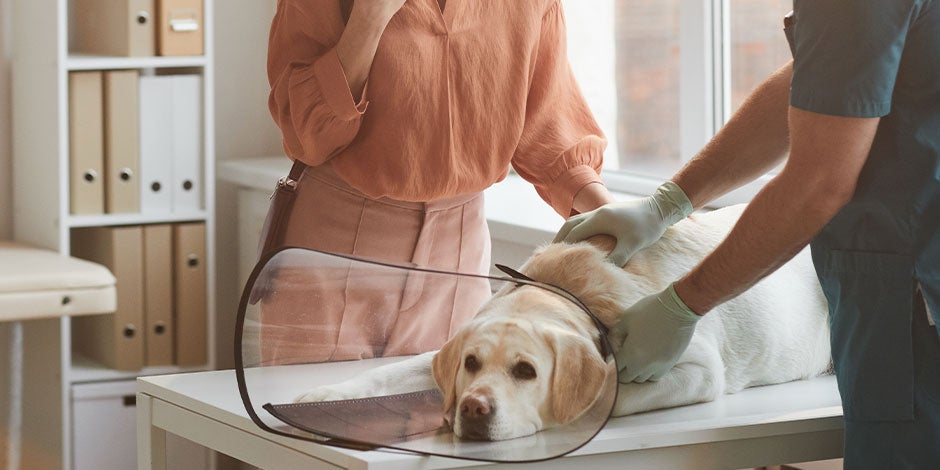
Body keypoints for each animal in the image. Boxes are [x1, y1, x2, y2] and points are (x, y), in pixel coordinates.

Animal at [296, 205, 828, 440]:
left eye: (525, 372)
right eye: (471, 364)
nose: (471, 410)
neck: (570, 291)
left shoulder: (698, 371)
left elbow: (612, 395)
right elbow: (391, 371)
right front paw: (322, 396)